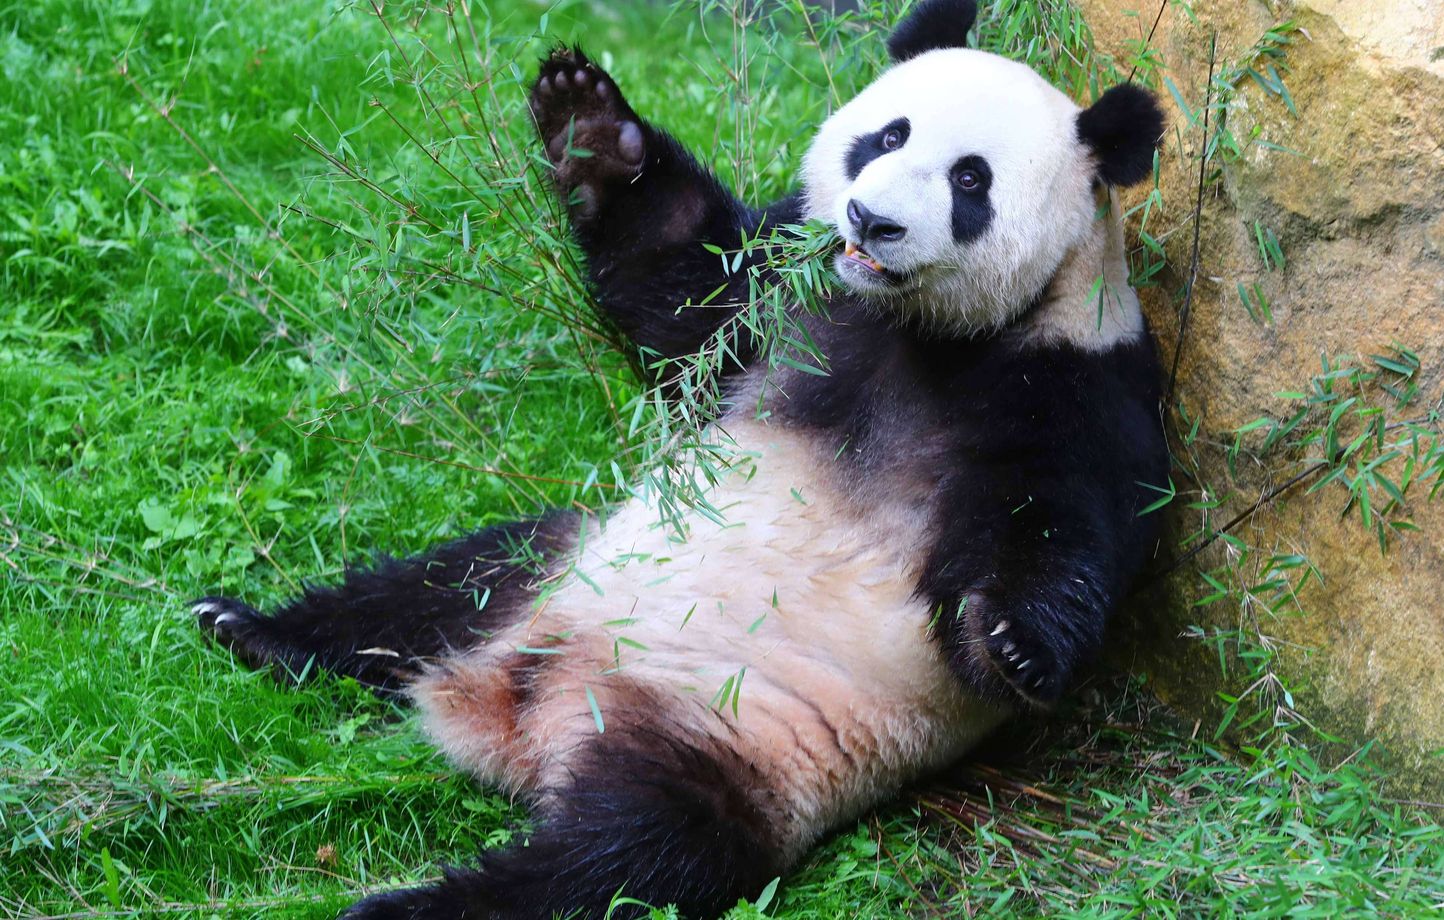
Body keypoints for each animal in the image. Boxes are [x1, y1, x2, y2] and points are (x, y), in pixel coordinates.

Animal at [192, 1, 1168, 917]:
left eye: (972, 179)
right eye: (888, 136)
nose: (871, 219)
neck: (913, 327)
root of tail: (520, 716)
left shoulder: (1075, 384)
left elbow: (1058, 525)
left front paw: (1011, 643)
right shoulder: (785, 296)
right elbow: (682, 290)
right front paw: (586, 118)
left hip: (732, 746)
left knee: (620, 856)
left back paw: (414, 903)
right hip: (551, 564)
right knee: (426, 592)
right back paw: (253, 629)